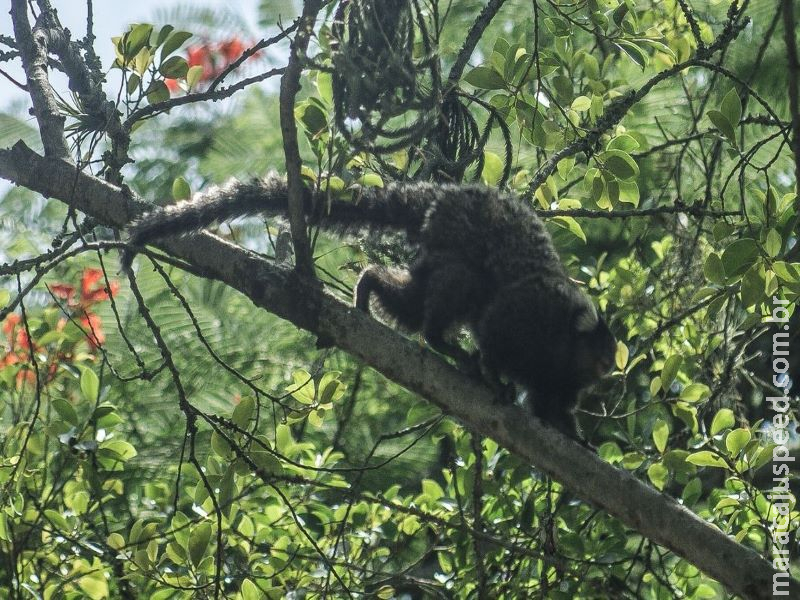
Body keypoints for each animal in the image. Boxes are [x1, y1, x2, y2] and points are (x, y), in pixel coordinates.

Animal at [122, 176, 616, 438]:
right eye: (604, 352)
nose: (611, 367)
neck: (563, 346)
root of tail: (444, 196)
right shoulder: (530, 314)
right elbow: (495, 330)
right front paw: (493, 375)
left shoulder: (561, 381)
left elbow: (551, 408)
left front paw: (579, 440)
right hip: (455, 238)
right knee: (462, 287)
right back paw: (442, 342)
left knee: (415, 299)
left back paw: (371, 284)